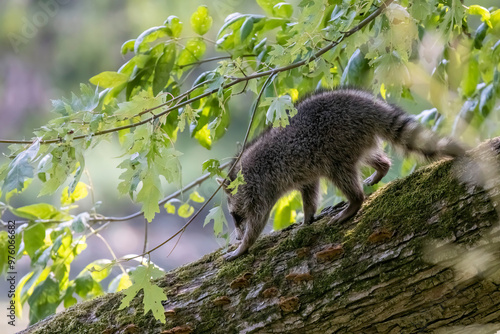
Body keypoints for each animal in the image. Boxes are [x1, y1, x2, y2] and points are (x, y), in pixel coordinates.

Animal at [218, 88, 464, 260]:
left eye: (235, 216)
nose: (237, 236)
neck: (244, 175)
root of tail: (364, 103)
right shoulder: (304, 174)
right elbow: (310, 192)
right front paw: (308, 217)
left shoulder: (262, 186)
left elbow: (259, 219)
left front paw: (244, 245)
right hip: (353, 139)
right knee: (368, 158)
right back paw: (381, 167)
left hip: (337, 139)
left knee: (341, 174)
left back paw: (355, 201)